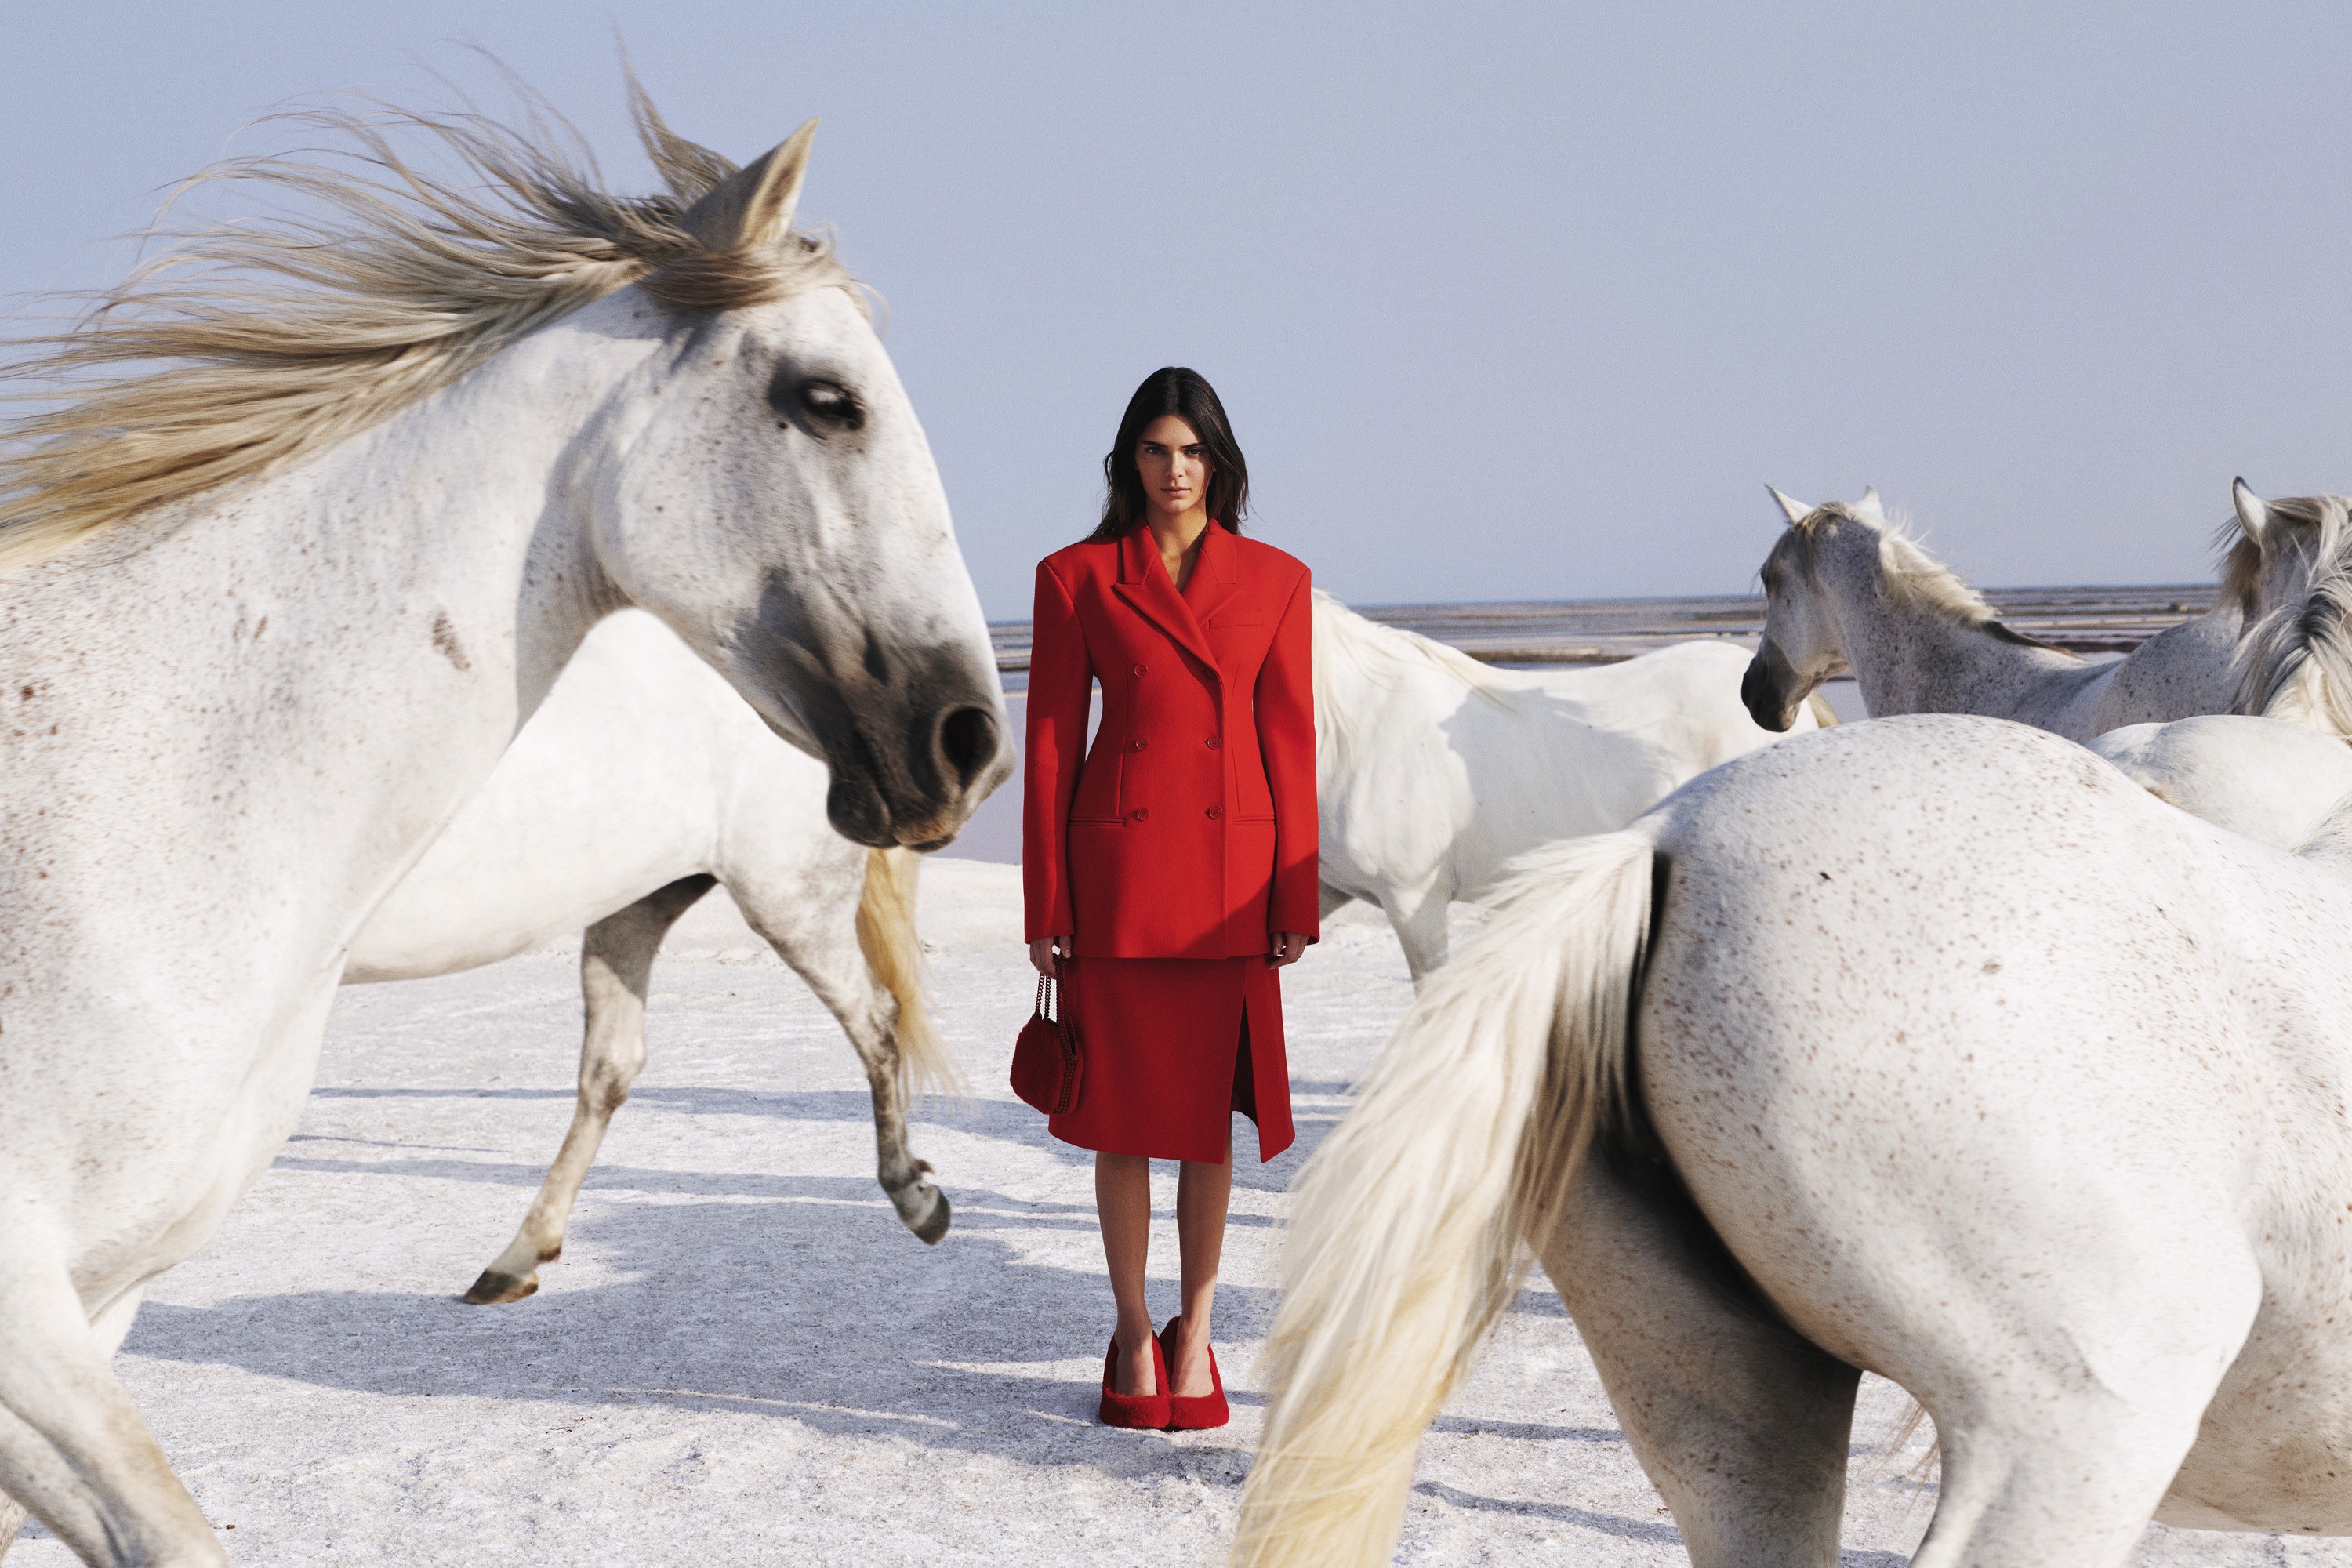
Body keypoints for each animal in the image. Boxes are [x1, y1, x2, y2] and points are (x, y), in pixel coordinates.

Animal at [343, 606, 950, 1307]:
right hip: (637, 900)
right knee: (611, 1066)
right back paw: (517, 1257)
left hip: (789, 896)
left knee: (877, 1019)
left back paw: (916, 1197)